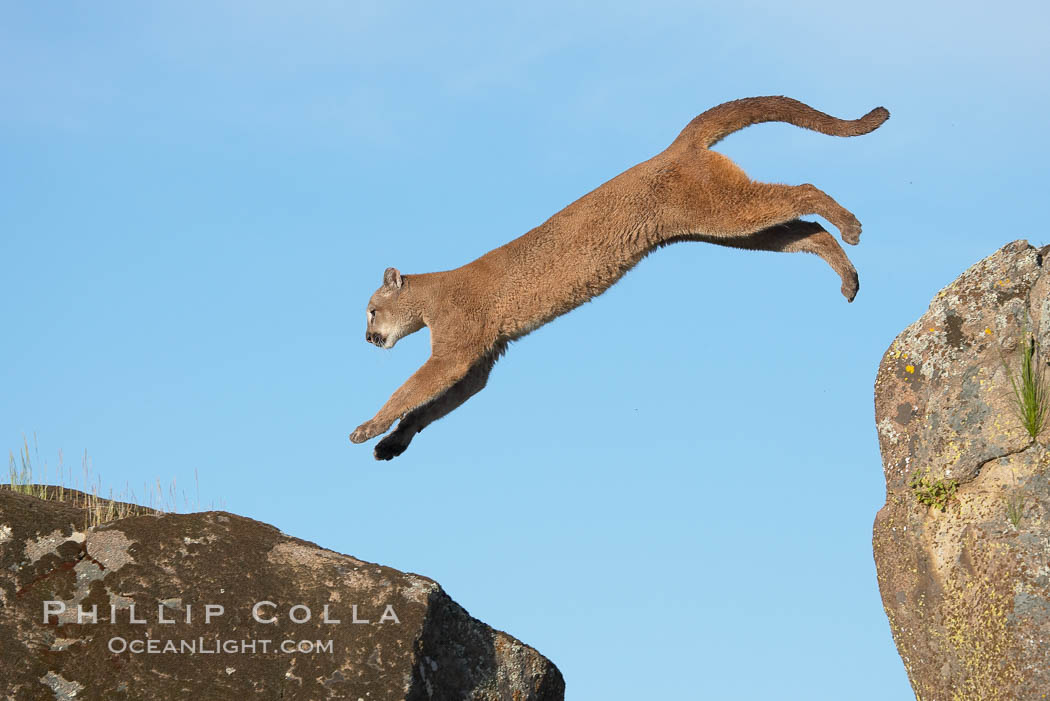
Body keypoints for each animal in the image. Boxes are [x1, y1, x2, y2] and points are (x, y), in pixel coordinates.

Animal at [350, 96, 886, 457]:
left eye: (372, 310)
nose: (367, 337)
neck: (431, 297)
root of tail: (674, 147)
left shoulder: (456, 350)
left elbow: (411, 389)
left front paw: (368, 427)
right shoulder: (478, 363)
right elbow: (428, 407)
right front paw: (391, 443)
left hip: (725, 210)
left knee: (805, 190)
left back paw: (854, 228)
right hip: (727, 228)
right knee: (804, 230)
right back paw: (849, 278)